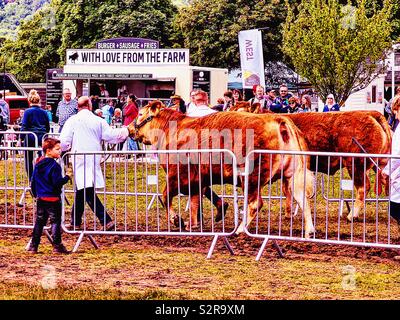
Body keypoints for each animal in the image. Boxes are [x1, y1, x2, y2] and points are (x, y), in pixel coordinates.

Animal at [128, 100, 316, 238]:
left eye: (140, 114)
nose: (129, 128)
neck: (172, 129)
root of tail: (278, 120)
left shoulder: (177, 175)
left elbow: (165, 196)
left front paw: (177, 220)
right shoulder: (199, 177)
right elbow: (199, 199)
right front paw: (201, 220)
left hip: (251, 177)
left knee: (255, 204)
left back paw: (239, 230)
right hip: (293, 175)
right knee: (301, 198)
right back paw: (309, 231)